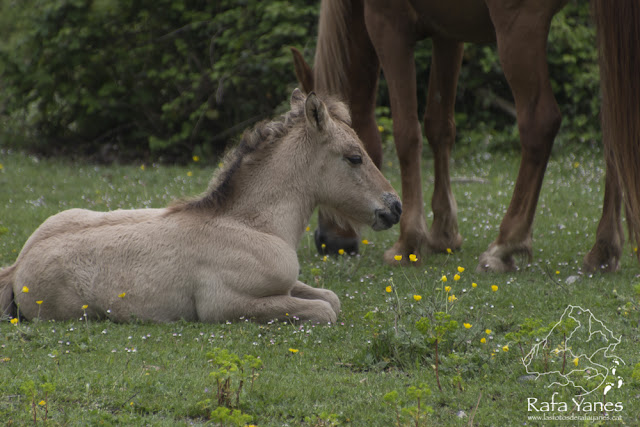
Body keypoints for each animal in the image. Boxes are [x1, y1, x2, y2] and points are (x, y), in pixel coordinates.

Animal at [294, 0, 640, 272]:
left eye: (350, 158)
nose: (328, 242)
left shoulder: (388, 27)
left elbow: (407, 133)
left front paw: (408, 242)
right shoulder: (448, 35)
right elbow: (439, 127)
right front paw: (443, 234)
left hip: (519, 27)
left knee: (539, 124)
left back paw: (506, 244)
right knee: (613, 124)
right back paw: (603, 250)